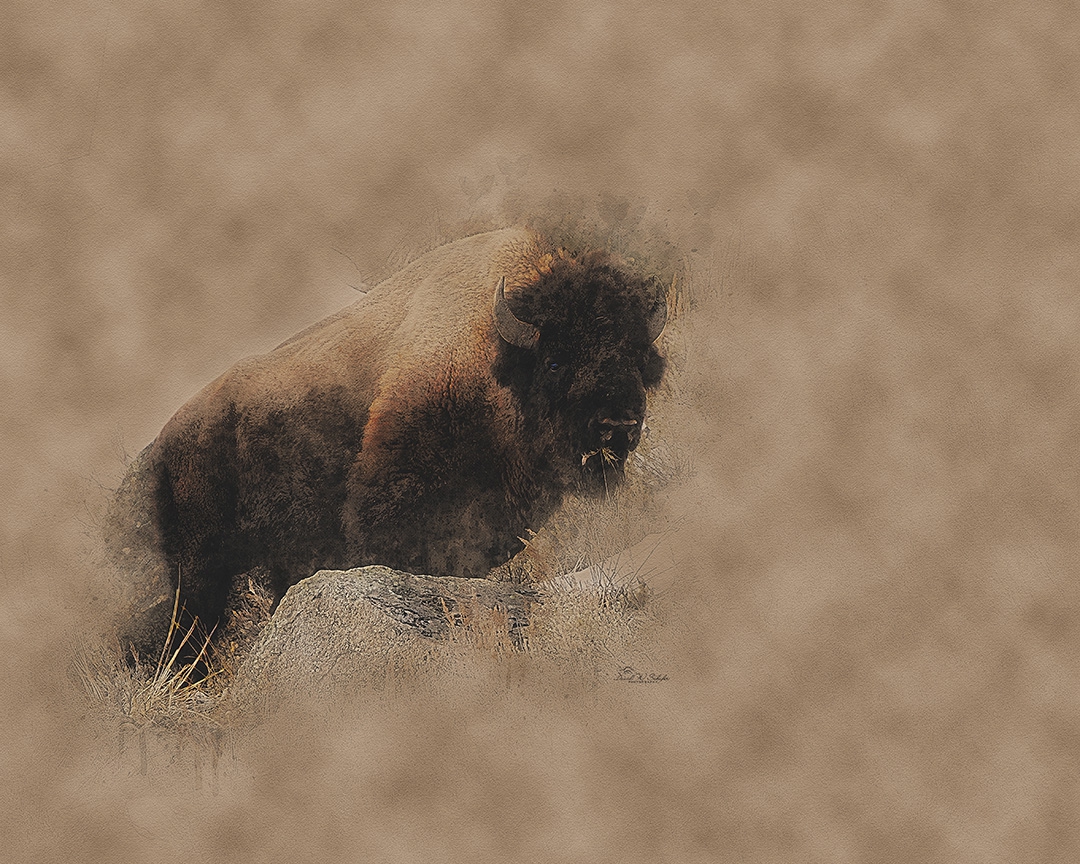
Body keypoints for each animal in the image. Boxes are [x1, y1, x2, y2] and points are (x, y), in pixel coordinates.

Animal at [109, 227, 668, 654]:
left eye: (640, 359)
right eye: (555, 362)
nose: (618, 425)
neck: (491, 359)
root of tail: (166, 440)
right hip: (200, 561)